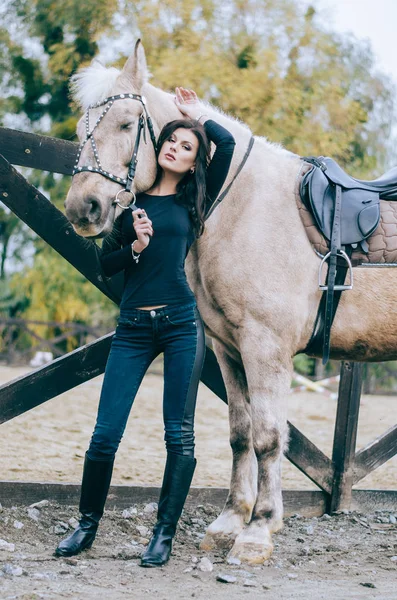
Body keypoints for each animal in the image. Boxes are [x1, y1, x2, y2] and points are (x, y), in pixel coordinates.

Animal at [63, 39, 394, 564]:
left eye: (127, 125)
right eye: (80, 131)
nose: (83, 209)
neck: (242, 207)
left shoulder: (267, 348)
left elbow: (268, 437)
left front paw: (259, 531)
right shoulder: (229, 348)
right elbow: (241, 434)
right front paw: (229, 522)